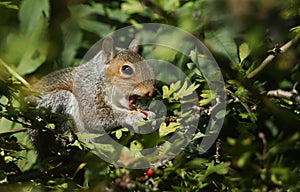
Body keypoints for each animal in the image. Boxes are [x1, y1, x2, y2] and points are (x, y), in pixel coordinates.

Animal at [27, 37, 157, 159]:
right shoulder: (87, 91)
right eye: (126, 69)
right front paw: (133, 116)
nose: (151, 92)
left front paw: (149, 113)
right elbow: (95, 116)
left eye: (149, 66)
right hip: (51, 107)